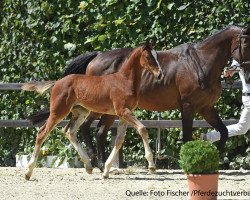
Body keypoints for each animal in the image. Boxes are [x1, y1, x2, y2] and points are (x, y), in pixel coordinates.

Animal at [23, 43, 164, 180]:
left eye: (157, 56)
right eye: (148, 57)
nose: (160, 75)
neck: (125, 81)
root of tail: (57, 82)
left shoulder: (124, 115)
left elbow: (119, 140)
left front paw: (106, 171)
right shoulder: (122, 111)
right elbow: (142, 129)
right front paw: (152, 166)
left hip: (80, 112)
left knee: (70, 131)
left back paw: (89, 166)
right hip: (58, 112)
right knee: (42, 133)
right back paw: (28, 172)